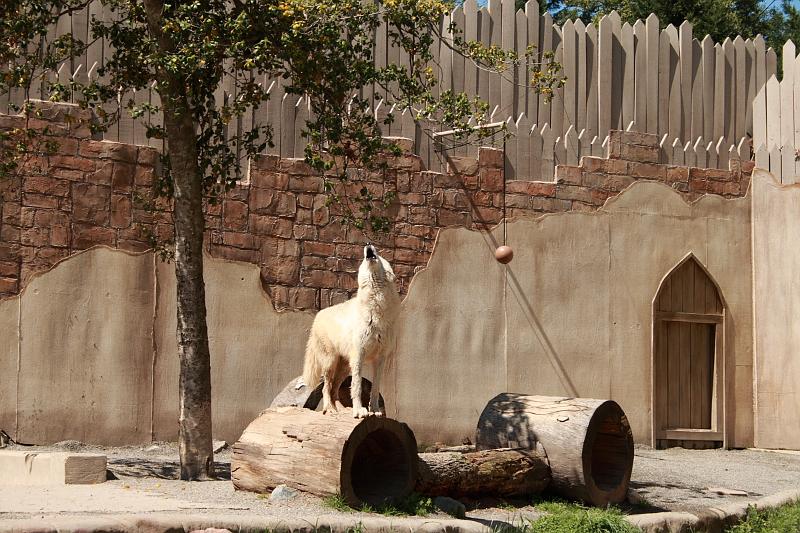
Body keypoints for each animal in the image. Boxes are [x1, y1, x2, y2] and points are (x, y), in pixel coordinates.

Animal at [301, 244, 401, 418]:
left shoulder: (380, 359)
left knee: (334, 389)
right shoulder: (359, 355)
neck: (376, 308)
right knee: (326, 388)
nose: (368, 244)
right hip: (331, 363)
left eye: (379, 253)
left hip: (344, 367)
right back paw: (330, 409)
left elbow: (375, 389)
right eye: (362, 260)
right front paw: (359, 411)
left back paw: (339, 410)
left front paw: (375, 410)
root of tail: (318, 315)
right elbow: (357, 386)